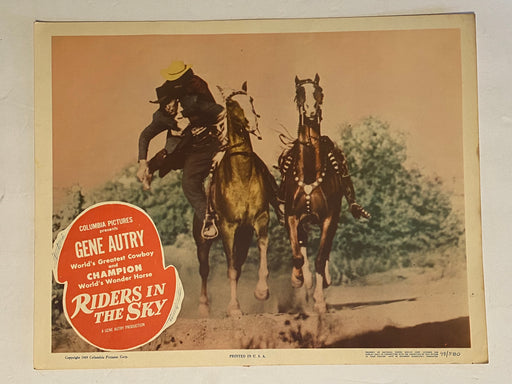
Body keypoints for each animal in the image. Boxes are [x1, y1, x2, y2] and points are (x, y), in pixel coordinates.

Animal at [198, 80, 274, 316]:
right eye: (231, 103)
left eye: (250, 99)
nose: (252, 122)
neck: (242, 174)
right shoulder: (227, 227)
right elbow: (230, 269)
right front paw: (233, 308)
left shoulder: (260, 220)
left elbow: (262, 251)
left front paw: (261, 291)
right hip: (203, 238)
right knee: (204, 269)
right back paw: (203, 307)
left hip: (243, 235)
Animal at [278, 74, 370, 312]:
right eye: (299, 92)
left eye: (319, 92)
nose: (311, 110)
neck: (311, 172)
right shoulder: (292, 216)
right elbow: (298, 256)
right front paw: (298, 279)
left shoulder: (330, 218)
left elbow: (321, 258)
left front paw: (319, 300)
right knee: (303, 248)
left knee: (323, 253)